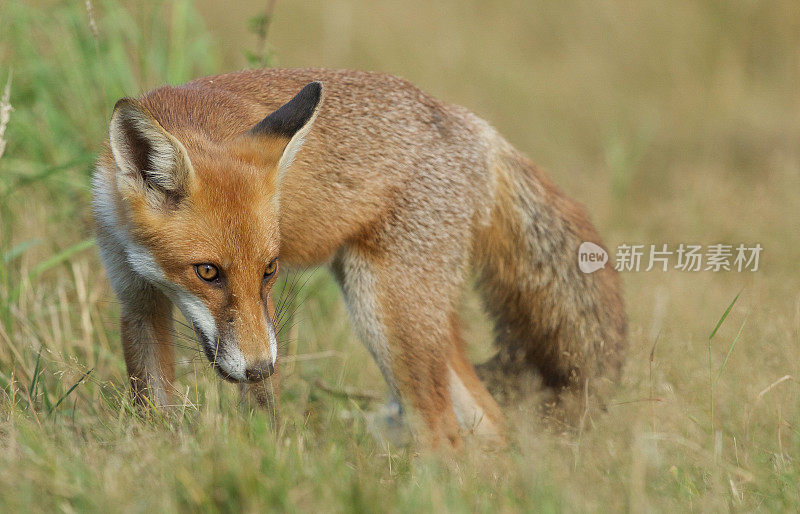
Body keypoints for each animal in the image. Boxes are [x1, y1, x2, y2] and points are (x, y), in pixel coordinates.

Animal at [92, 67, 624, 444]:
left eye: (270, 270)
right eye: (207, 272)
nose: (262, 369)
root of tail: (477, 129)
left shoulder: (265, 323)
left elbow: (262, 414)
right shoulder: (136, 299)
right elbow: (153, 406)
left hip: (386, 316)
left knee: (444, 432)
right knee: (487, 421)